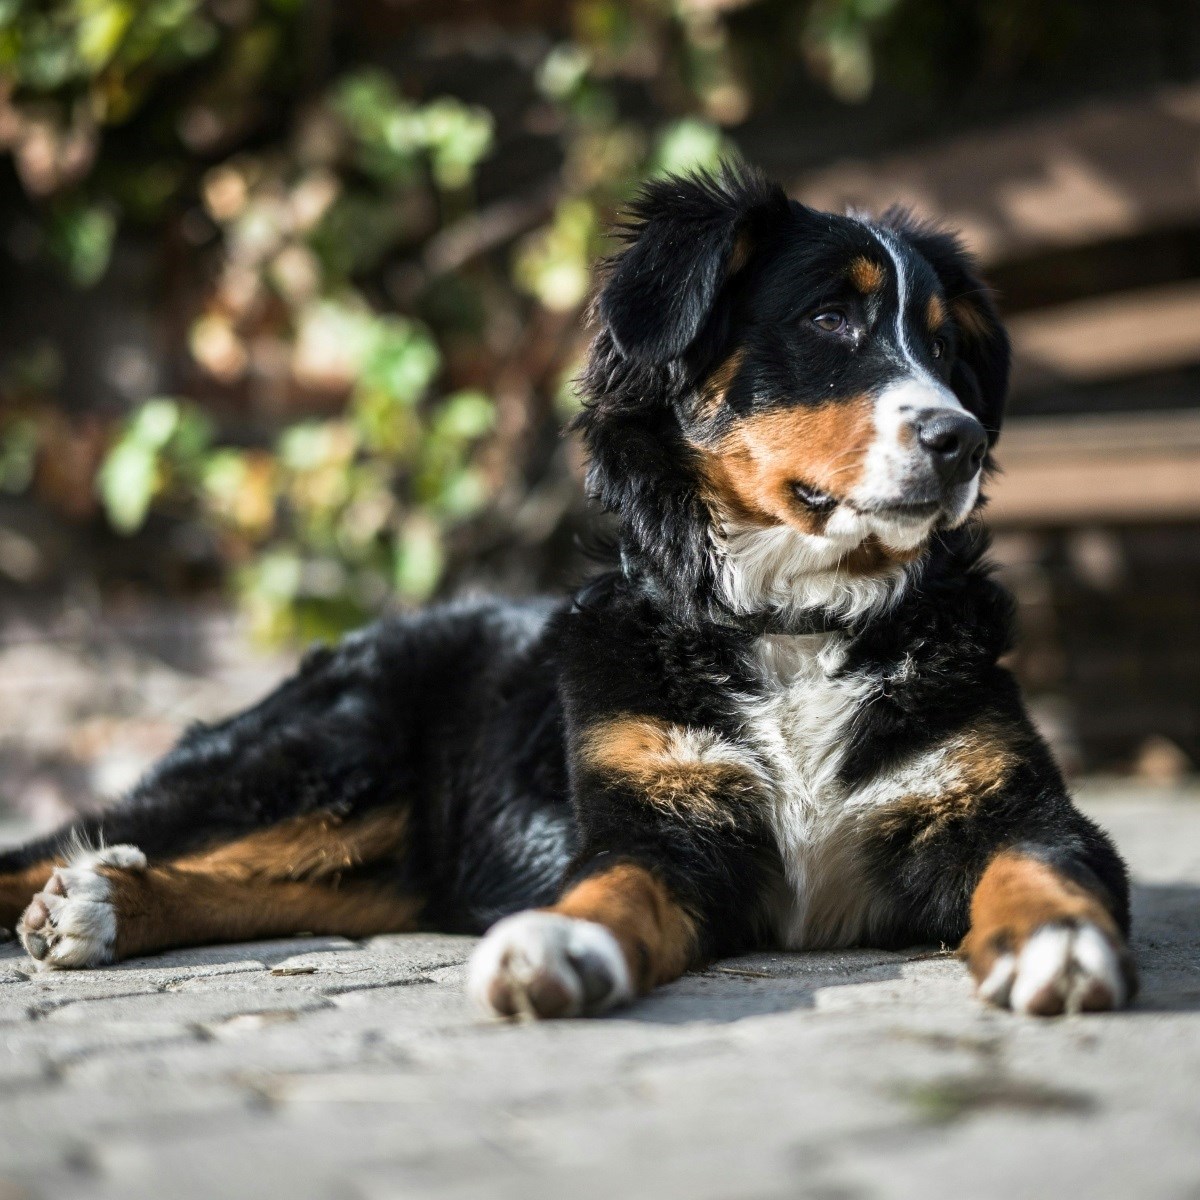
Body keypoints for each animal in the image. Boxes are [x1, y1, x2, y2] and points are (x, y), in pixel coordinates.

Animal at [0, 164, 1132, 1017]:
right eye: (828, 318)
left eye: (944, 343)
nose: (960, 439)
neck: (797, 619)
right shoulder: (659, 822)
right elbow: (611, 885)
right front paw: (561, 944)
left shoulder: (1007, 801)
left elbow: (1046, 864)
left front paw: (1056, 943)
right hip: (318, 758)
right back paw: (81, 896)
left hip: (372, 850)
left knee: (260, 884)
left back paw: (103, 902)